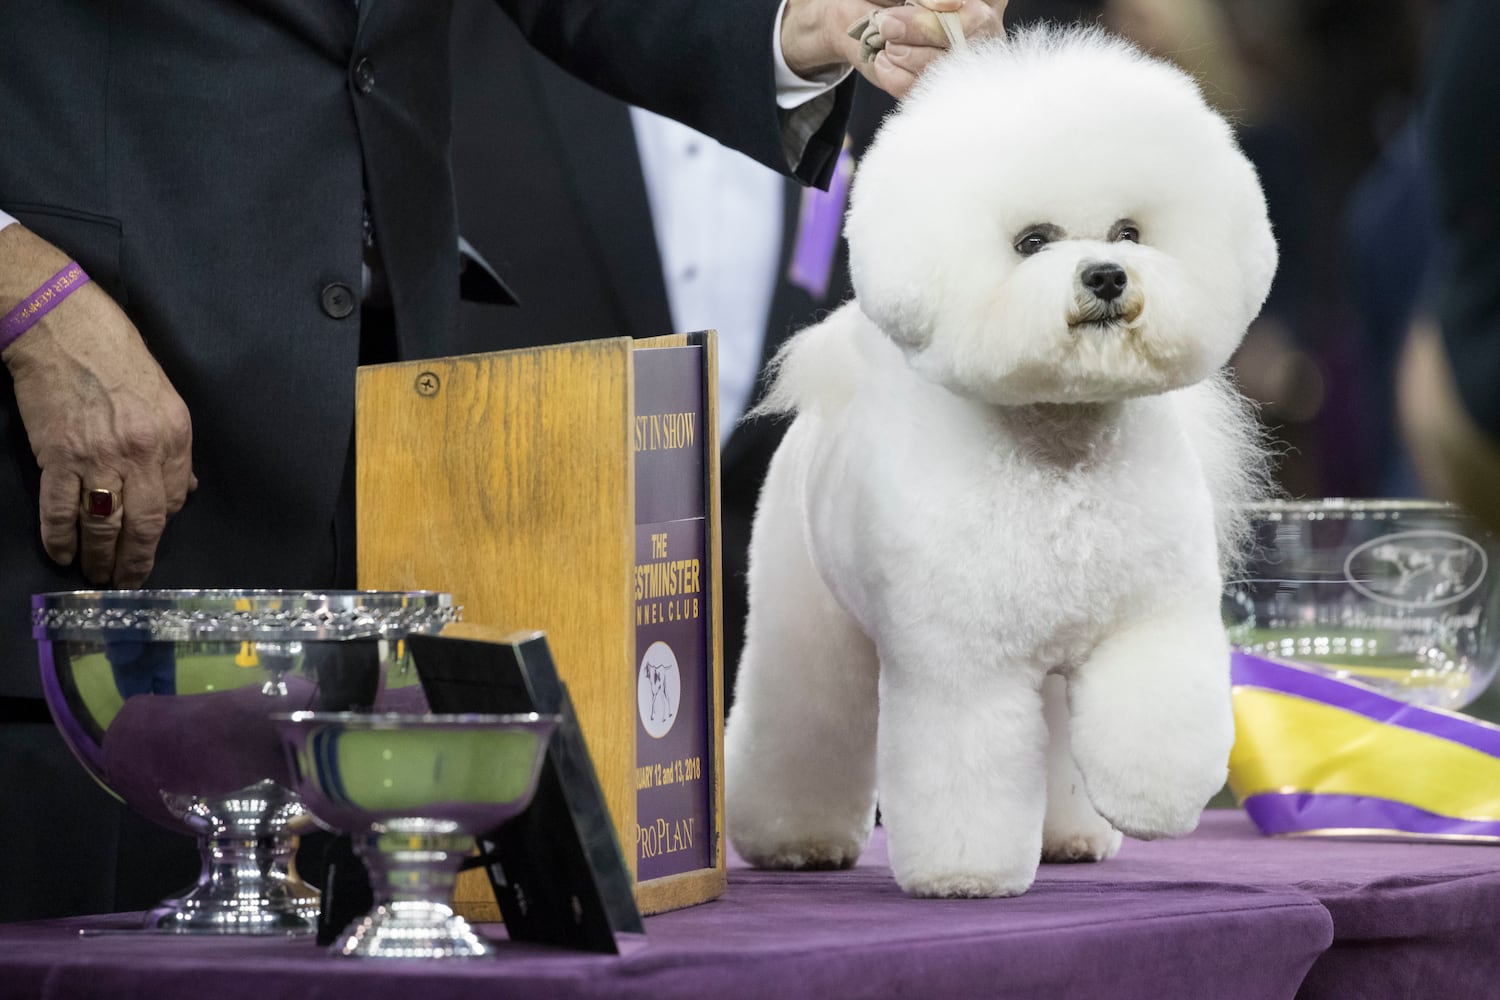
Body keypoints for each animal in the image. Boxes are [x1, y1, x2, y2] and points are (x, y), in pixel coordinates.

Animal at [726, 25, 1278, 899]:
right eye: (1033, 242)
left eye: (1129, 232)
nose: (1107, 276)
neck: (1060, 447)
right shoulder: (962, 664)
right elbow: (965, 771)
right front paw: (965, 875)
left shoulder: (1150, 617)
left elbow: (1156, 716)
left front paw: (1154, 798)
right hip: (808, 622)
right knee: (806, 722)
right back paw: (796, 841)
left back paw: (1071, 837)